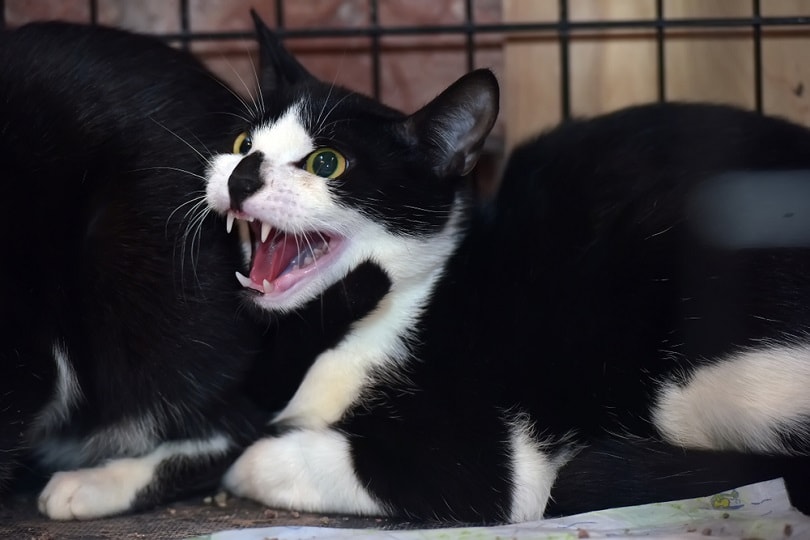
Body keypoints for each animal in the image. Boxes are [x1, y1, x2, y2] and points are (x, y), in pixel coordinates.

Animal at [202, 14, 808, 524]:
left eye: (326, 162)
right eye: (243, 142)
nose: (241, 176)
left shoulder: (485, 458)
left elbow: (284, 459)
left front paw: (245, 460)